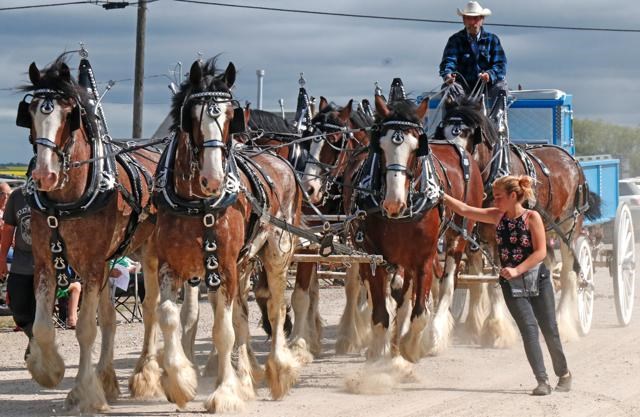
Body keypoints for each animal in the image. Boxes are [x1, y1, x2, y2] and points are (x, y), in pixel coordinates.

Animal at [16, 54, 162, 410]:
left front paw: (83, 392)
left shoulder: (92, 264)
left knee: (151, 308)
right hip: (112, 261)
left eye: (69, 114)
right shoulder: (47, 261)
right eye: (31, 110)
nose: (45, 175)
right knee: (110, 318)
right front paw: (49, 370)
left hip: (148, 254)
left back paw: (144, 375)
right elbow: (42, 326)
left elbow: (85, 329)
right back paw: (107, 379)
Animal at [155, 57, 304, 412]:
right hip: (244, 263)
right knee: (243, 314)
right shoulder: (171, 264)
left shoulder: (222, 267)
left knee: (275, 308)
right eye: (192, 114)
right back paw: (248, 374)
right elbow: (170, 317)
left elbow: (223, 332)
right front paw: (180, 382)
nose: (213, 177)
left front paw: (224, 392)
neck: (196, 202)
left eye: (228, 115)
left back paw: (278, 371)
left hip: (278, 253)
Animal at [342, 92, 482, 386]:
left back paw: (434, 333)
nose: (393, 203)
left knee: (447, 283)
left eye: (417, 148)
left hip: (460, 235)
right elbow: (381, 313)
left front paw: (412, 346)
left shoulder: (424, 258)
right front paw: (381, 352)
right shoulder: (374, 256)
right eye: (380, 145)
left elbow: (420, 312)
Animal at [438, 96, 604, 342]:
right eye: (443, 131)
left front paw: (496, 328)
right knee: (547, 265)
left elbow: (495, 281)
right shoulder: (472, 236)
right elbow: (477, 281)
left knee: (569, 274)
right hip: (543, 228)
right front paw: (474, 325)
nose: (452, 166)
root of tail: (571, 159)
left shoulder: (497, 238)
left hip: (569, 228)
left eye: (468, 133)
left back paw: (563, 323)